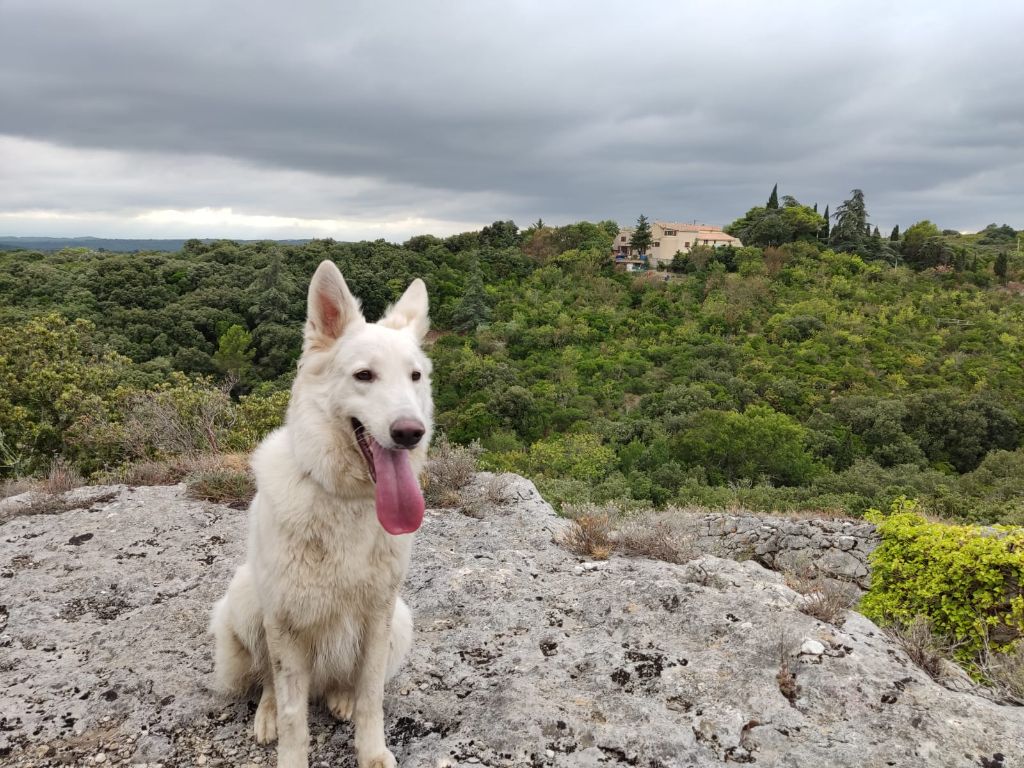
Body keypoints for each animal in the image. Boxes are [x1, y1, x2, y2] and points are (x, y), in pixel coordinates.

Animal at [207, 262, 432, 768]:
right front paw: (290, 750)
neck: (345, 500)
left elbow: (371, 695)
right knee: (269, 682)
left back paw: (340, 696)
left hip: (402, 621)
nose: (411, 432)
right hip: (247, 598)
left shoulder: (378, 614)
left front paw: (371, 751)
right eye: (364, 375)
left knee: (346, 684)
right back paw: (267, 713)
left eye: (414, 376)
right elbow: (294, 713)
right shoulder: (286, 624)